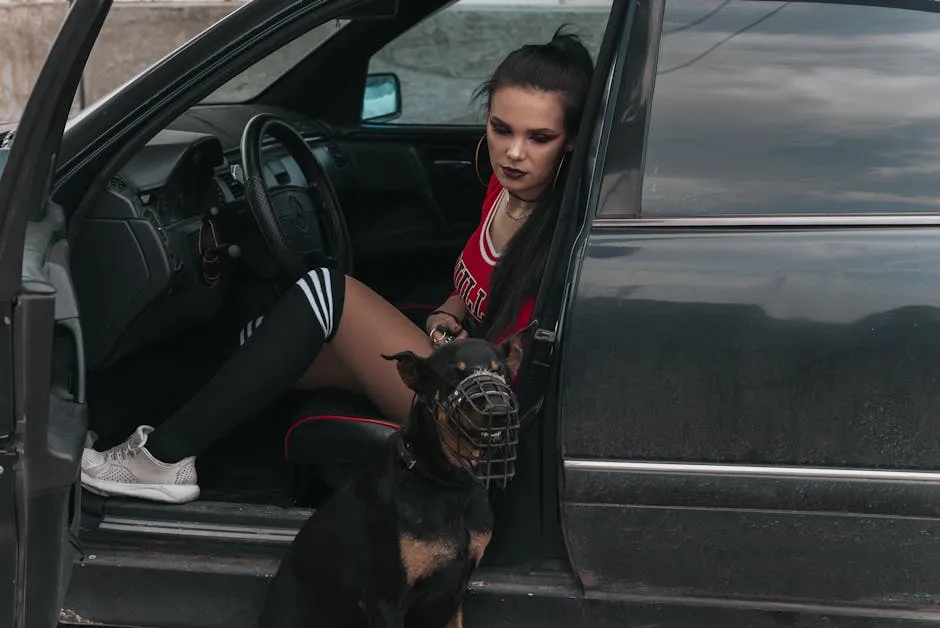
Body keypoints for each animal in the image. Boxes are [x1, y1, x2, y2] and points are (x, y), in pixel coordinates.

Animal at [258, 326, 532, 624]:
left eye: (501, 372)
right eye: (453, 375)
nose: (499, 411)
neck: (449, 484)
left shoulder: (454, 595)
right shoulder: (385, 600)